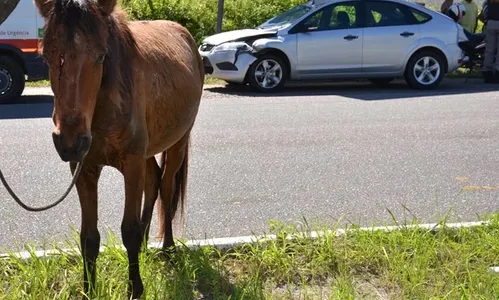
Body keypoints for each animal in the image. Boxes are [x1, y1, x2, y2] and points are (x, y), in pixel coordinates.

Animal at [30, 0, 205, 296]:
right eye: (46, 55)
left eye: (101, 57)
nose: (70, 142)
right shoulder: (83, 168)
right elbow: (88, 238)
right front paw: (88, 290)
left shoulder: (131, 164)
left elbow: (129, 231)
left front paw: (135, 289)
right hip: (146, 151)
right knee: (153, 182)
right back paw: (148, 243)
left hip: (178, 142)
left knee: (166, 187)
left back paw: (168, 248)